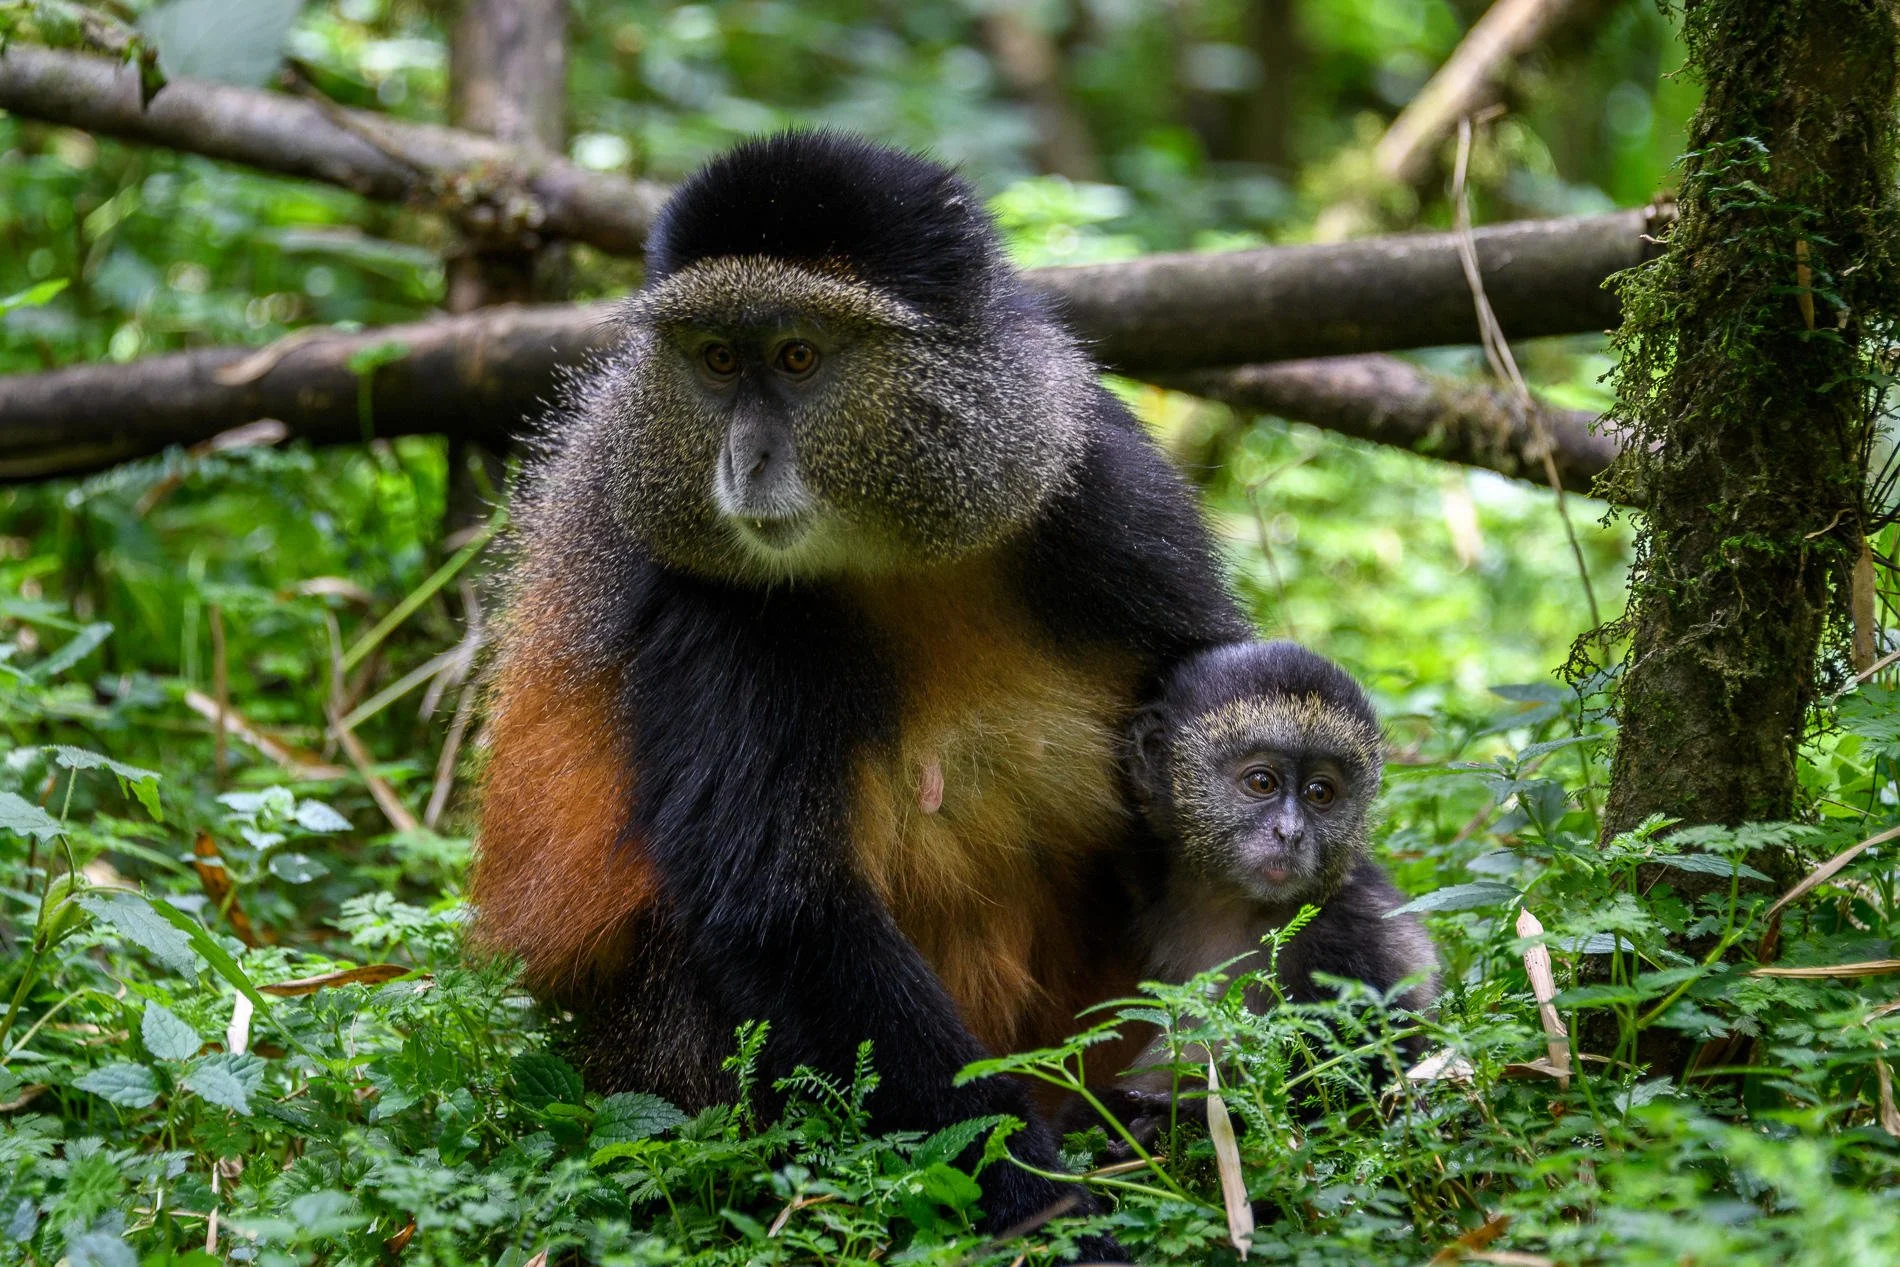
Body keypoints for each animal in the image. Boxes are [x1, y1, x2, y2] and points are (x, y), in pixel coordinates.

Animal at [469, 131, 1252, 1245]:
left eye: (798, 356)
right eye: (717, 360)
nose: (744, 463)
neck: (896, 549)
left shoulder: (1103, 486)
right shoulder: (716, 605)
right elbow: (780, 909)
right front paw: (1046, 1208)